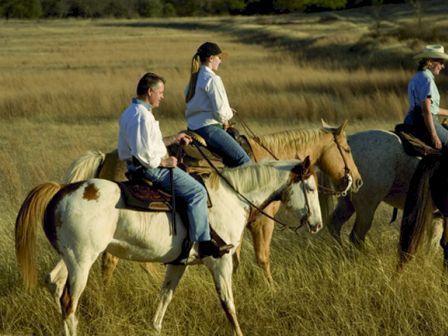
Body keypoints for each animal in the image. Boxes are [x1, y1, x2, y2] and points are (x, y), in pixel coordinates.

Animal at [14, 159, 322, 336]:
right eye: (310, 189)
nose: (317, 224)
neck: (231, 197)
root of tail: (62, 190)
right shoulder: (220, 262)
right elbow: (229, 304)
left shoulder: (177, 263)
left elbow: (164, 298)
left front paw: (156, 329)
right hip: (81, 262)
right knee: (69, 302)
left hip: (71, 258)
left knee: (54, 283)